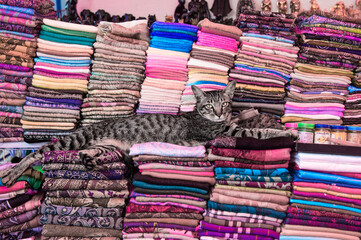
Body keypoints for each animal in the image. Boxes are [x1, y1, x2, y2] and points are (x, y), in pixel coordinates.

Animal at [0, 81, 292, 187]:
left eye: (224, 103)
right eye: (210, 106)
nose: (220, 113)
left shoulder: (228, 124)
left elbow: (245, 118)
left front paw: (250, 110)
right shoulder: (226, 131)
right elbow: (258, 131)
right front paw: (288, 133)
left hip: (108, 147)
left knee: (86, 153)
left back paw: (92, 160)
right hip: (71, 139)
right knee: (38, 153)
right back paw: (11, 174)